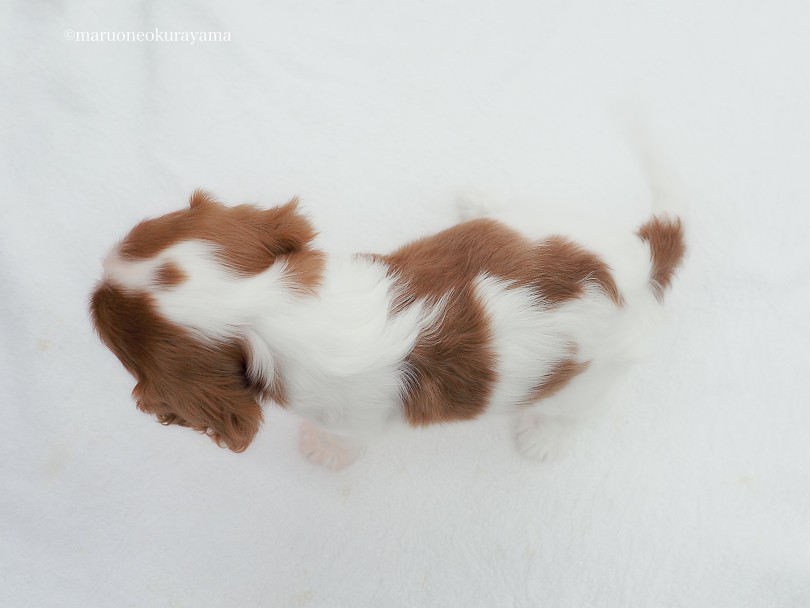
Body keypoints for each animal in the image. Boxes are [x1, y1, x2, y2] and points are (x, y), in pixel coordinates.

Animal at [88, 192, 680, 468]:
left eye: (106, 328)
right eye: (148, 229)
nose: (98, 272)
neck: (276, 303)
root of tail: (642, 265)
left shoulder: (352, 420)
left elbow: (342, 442)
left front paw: (322, 452)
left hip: (594, 377)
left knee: (574, 411)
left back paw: (544, 437)